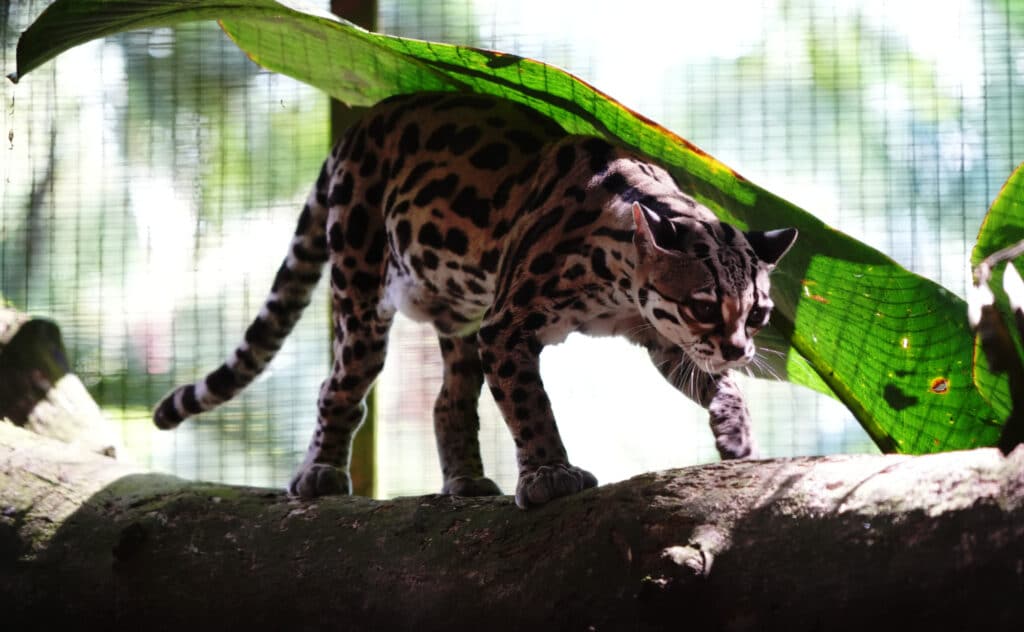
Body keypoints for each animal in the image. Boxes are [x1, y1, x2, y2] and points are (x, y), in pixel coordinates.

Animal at [154, 91, 797, 509]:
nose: (741, 350)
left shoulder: (662, 339)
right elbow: (530, 406)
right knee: (338, 385)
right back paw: (320, 473)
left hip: (460, 314)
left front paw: (736, 434)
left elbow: (716, 384)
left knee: (448, 400)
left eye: (759, 313)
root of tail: (355, 130)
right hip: (362, 289)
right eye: (703, 305)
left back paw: (463, 481)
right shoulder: (507, 326)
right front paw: (549, 473)